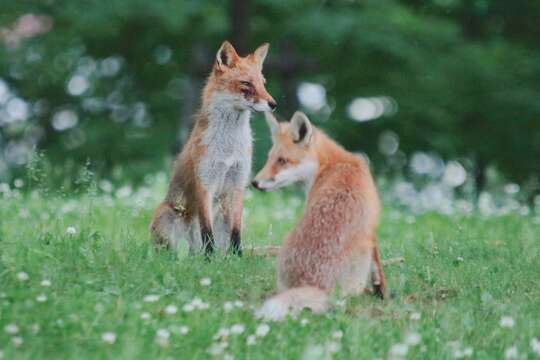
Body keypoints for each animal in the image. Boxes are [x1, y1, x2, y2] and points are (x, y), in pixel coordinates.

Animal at [152, 40, 278, 256]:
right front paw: (209, 259)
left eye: (263, 83)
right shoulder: (205, 182)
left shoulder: (238, 182)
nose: (273, 104)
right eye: (247, 84)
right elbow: (206, 230)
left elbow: (236, 232)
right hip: (166, 214)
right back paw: (195, 256)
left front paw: (237, 257)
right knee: (179, 250)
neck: (228, 149)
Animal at [252, 111, 384, 320]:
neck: (330, 163)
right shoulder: (371, 228)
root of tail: (312, 283)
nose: (254, 182)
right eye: (269, 158)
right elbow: (377, 264)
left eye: (282, 160)